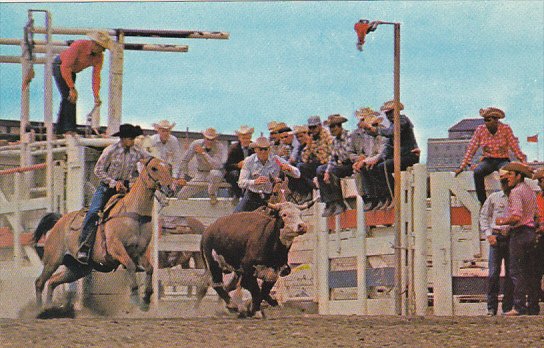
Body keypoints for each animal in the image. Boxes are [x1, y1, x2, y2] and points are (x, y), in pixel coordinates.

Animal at [33, 156, 174, 312]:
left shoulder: (140, 252)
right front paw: (135, 297)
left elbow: (150, 269)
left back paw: (48, 308)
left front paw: (146, 298)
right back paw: (38, 309)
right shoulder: (116, 248)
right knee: (40, 282)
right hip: (52, 260)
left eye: (169, 168)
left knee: (52, 282)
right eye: (154, 168)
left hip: (78, 269)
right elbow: (130, 266)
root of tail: (59, 221)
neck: (135, 215)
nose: (170, 188)